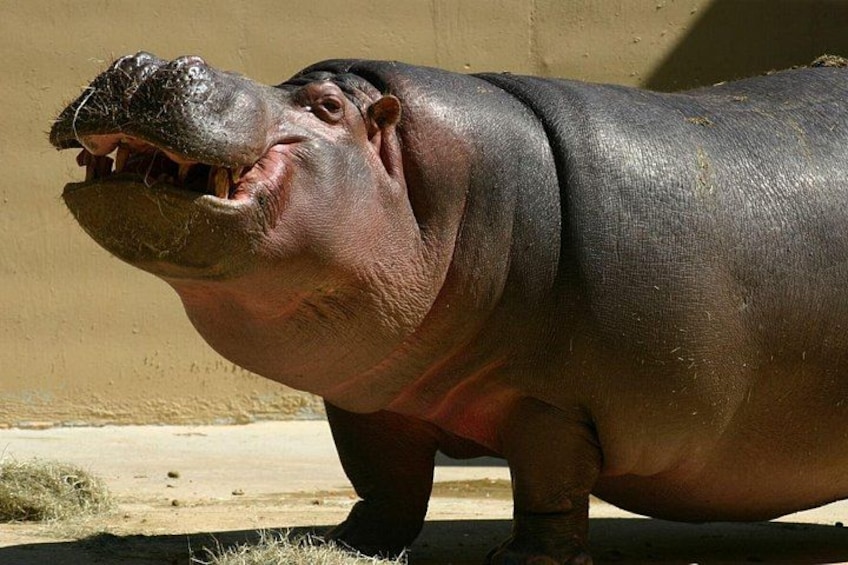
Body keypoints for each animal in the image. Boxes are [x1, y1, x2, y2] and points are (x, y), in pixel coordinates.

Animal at [50, 52, 848, 564]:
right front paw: (340, 543)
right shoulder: (369, 398)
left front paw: (523, 558)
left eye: (327, 107)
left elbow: (550, 482)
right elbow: (384, 482)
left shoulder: (548, 403)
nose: (147, 60)